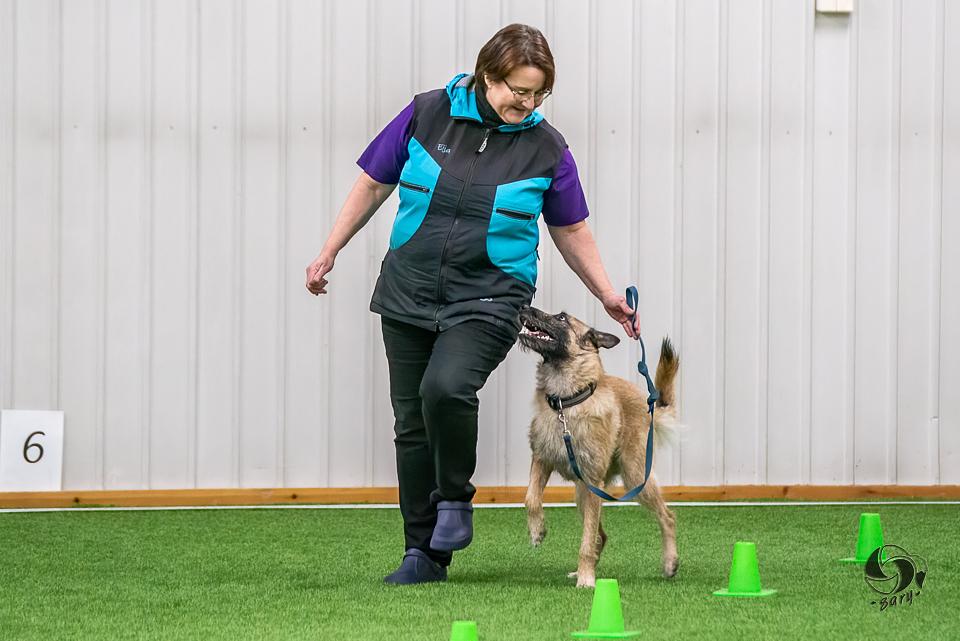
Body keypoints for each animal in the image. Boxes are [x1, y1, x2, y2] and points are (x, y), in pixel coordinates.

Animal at [516, 304, 684, 584]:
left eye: (561, 317)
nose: (524, 307)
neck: (566, 402)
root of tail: (647, 402)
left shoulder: (593, 481)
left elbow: (586, 539)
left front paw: (587, 580)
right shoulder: (542, 460)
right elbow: (531, 498)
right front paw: (537, 530)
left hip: (634, 477)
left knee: (667, 517)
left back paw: (670, 561)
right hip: (582, 493)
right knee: (600, 535)